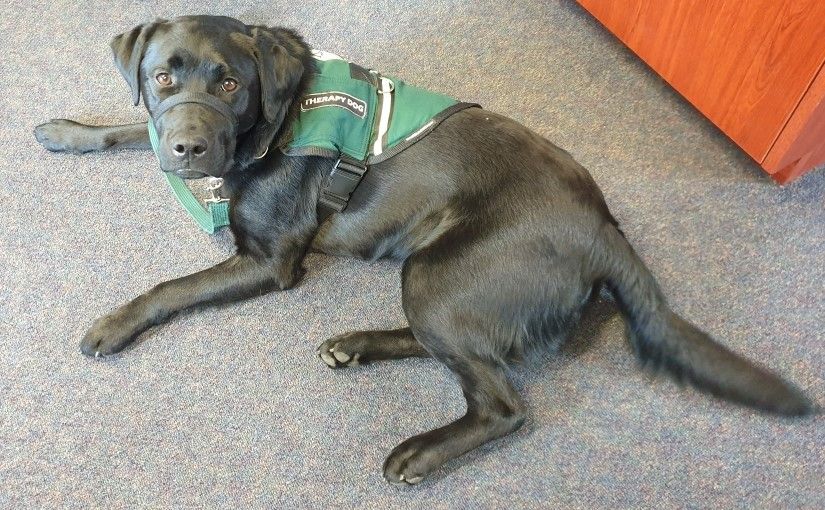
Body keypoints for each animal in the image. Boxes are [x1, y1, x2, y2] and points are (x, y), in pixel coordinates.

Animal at [33, 16, 812, 486]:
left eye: (229, 82)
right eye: (162, 76)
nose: (190, 148)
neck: (276, 118)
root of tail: (606, 230)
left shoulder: (268, 260)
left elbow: (171, 287)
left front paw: (113, 323)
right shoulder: (168, 138)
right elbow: (130, 130)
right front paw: (69, 131)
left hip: (441, 273)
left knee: (501, 401)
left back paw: (419, 451)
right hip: (434, 276)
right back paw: (354, 345)